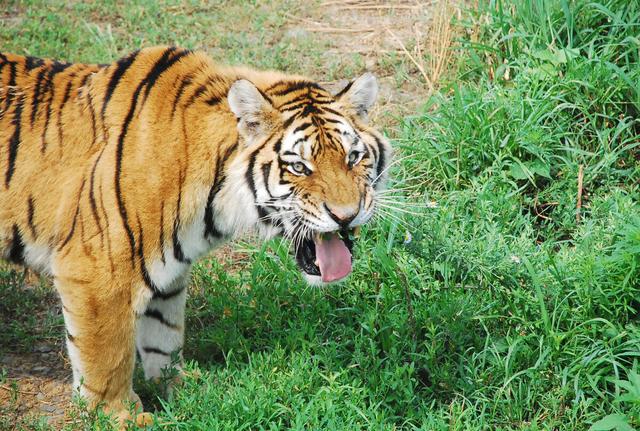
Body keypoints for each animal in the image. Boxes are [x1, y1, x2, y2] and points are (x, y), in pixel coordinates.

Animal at [0, 45, 390, 426]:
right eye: (298, 166)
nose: (346, 215)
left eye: (354, 158)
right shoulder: (96, 269)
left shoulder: (167, 273)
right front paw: (118, 415)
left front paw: (185, 389)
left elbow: (164, 336)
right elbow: (107, 354)